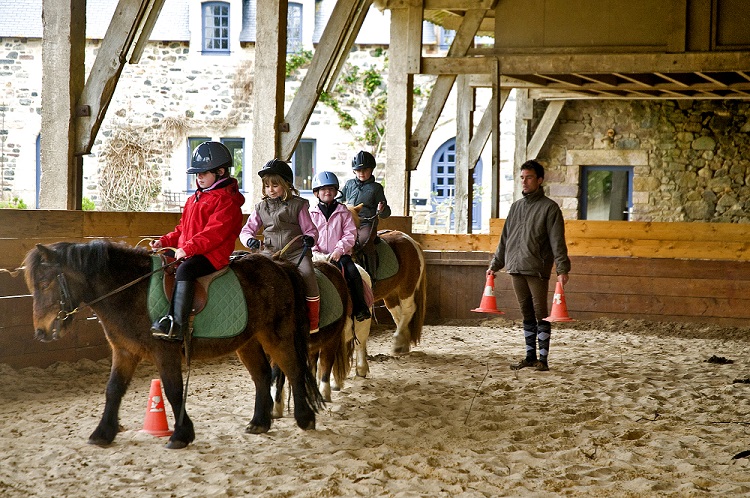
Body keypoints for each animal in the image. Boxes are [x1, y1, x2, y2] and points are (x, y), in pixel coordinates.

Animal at [22, 239, 324, 450]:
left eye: (46, 283)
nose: (41, 331)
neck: (131, 291)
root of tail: (278, 265)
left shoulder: (164, 352)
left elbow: (172, 390)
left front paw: (181, 434)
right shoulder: (124, 352)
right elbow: (113, 390)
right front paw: (102, 433)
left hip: (276, 335)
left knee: (293, 369)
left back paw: (305, 418)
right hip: (247, 340)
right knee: (261, 375)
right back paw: (259, 423)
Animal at [350, 205, 426, 354]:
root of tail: (412, 241)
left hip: (407, 288)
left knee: (408, 310)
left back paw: (398, 342)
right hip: (391, 294)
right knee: (398, 314)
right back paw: (403, 344)